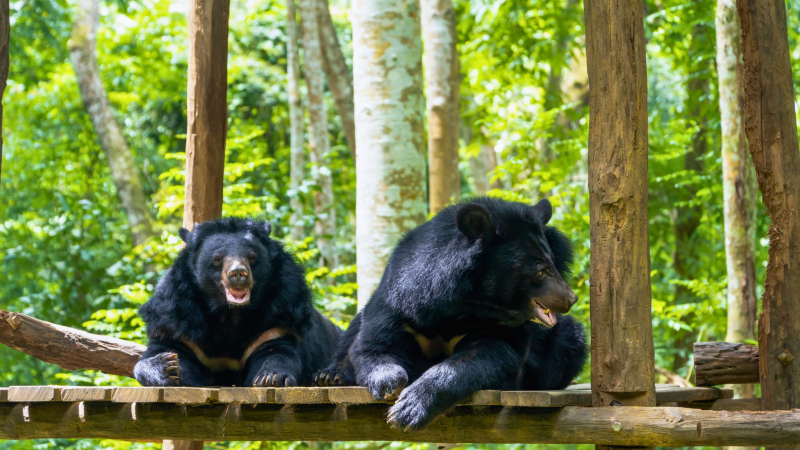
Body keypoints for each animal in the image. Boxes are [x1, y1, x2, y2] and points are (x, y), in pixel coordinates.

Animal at [133, 217, 342, 387]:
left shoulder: (281, 311)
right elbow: (166, 351)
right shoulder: (178, 316)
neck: (230, 313)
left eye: (252, 256)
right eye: (217, 259)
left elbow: (277, 351)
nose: (238, 274)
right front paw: (167, 367)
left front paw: (271, 377)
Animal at [314, 197, 587, 430]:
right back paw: (330, 375)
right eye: (541, 271)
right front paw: (391, 383)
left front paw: (409, 410)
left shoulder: (496, 326)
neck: (467, 304)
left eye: (553, 263)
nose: (570, 298)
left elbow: (492, 354)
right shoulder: (400, 298)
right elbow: (374, 345)